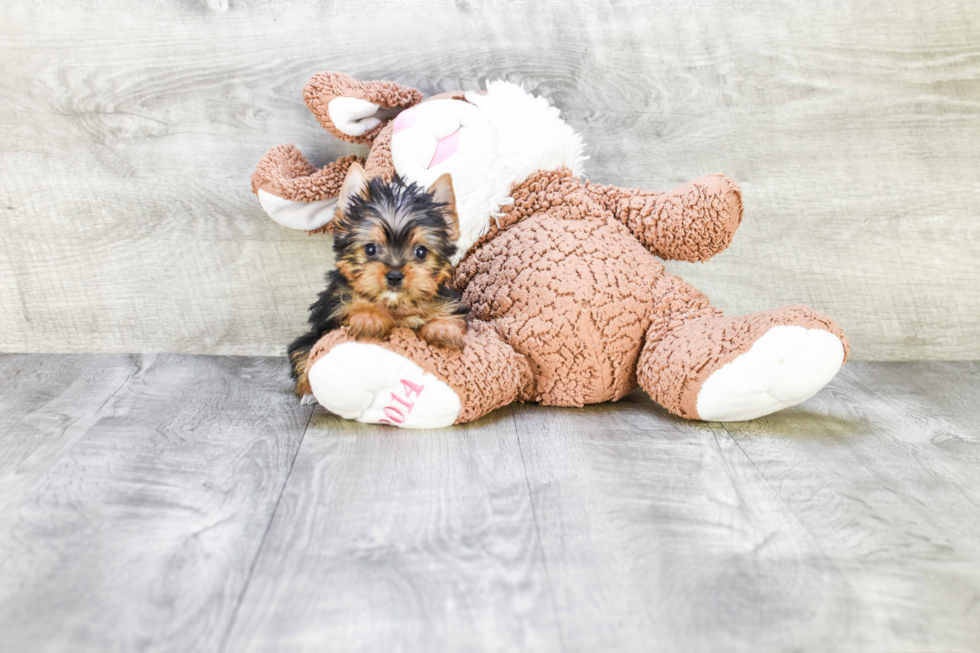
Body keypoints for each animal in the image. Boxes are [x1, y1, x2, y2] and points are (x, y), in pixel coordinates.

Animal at [288, 163, 468, 398]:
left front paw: (443, 329)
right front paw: (370, 317)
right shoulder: (331, 308)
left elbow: (449, 315)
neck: (395, 304)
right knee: (302, 355)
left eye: (421, 252)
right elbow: (352, 304)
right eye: (370, 249)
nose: (394, 275)